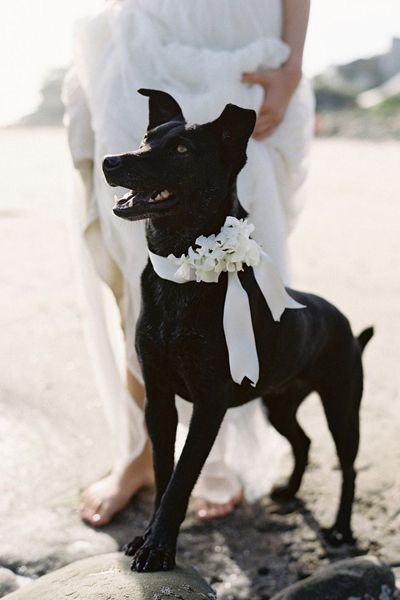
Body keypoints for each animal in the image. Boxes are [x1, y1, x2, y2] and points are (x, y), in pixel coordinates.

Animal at [103, 88, 372, 572]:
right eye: (146, 138)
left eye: (182, 150)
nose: (110, 162)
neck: (182, 275)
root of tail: (343, 322)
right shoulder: (159, 400)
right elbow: (162, 472)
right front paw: (147, 535)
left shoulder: (209, 404)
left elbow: (181, 479)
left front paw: (159, 547)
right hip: (279, 404)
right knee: (303, 441)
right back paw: (289, 491)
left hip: (343, 407)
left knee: (348, 466)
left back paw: (340, 528)